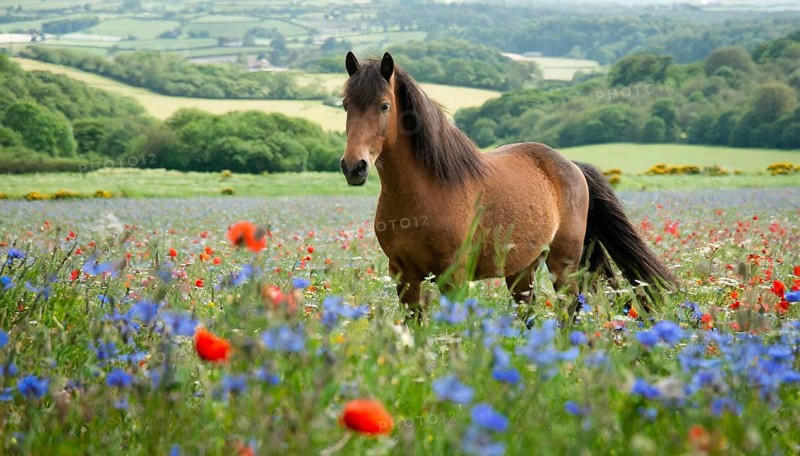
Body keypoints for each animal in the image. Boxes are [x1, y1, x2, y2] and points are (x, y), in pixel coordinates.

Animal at [339, 51, 676, 320]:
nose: (354, 167)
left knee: (569, 311)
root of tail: (572, 166)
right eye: (345, 105)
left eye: (384, 106)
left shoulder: (454, 277)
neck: (423, 194)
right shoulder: (404, 277)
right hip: (522, 270)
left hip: (563, 263)